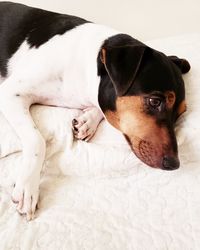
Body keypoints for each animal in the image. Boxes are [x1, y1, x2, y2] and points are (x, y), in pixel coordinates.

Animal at [0, 1, 191, 221]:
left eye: (180, 114)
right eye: (154, 101)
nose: (174, 164)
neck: (86, 66)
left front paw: (87, 121)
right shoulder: (10, 93)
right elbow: (37, 140)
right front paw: (28, 188)